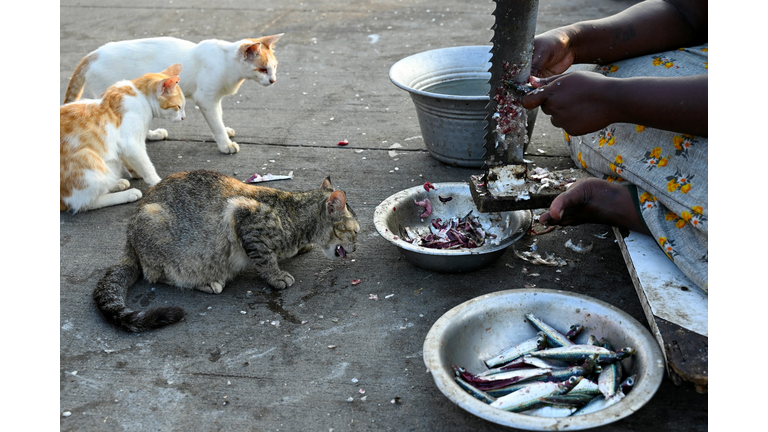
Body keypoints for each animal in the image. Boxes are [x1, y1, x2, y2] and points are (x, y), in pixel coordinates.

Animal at [60, 63, 186, 213]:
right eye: (178, 107)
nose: (184, 118)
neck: (140, 95)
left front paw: (135, 170)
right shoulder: (130, 143)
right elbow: (146, 164)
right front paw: (157, 182)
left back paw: (116, 183)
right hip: (89, 163)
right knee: (83, 203)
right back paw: (127, 194)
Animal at [63, 34, 284, 154]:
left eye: (274, 67)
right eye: (262, 70)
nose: (273, 80)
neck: (227, 63)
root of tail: (92, 54)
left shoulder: (215, 99)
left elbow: (219, 119)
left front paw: (225, 132)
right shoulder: (206, 99)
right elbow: (216, 123)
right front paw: (225, 144)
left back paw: (152, 134)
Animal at [92, 170, 360, 332]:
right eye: (355, 232)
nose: (356, 247)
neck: (294, 213)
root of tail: (129, 238)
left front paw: (298, 249)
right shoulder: (243, 218)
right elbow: (264, 258)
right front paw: (276, 276)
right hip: (157, 229)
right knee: (157, 274)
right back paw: (205, 281)